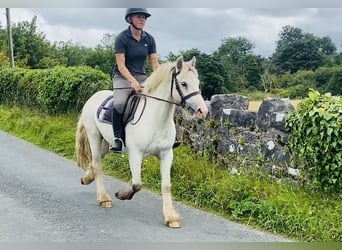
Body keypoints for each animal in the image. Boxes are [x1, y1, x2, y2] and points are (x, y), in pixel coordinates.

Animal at [75, 55, 208, 228]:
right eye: (184, 83)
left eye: (197, 82)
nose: (202, 111)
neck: (156, 118)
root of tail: (93, 97)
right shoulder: (135, 154)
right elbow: (137, 184)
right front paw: (122, 194)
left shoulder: (166, 154)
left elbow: (166, 185)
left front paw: (171, 217)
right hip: (94, 137)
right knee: (97, 164)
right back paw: (103, 198)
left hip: (106, 143)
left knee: (94, 163)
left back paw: (86, 179)